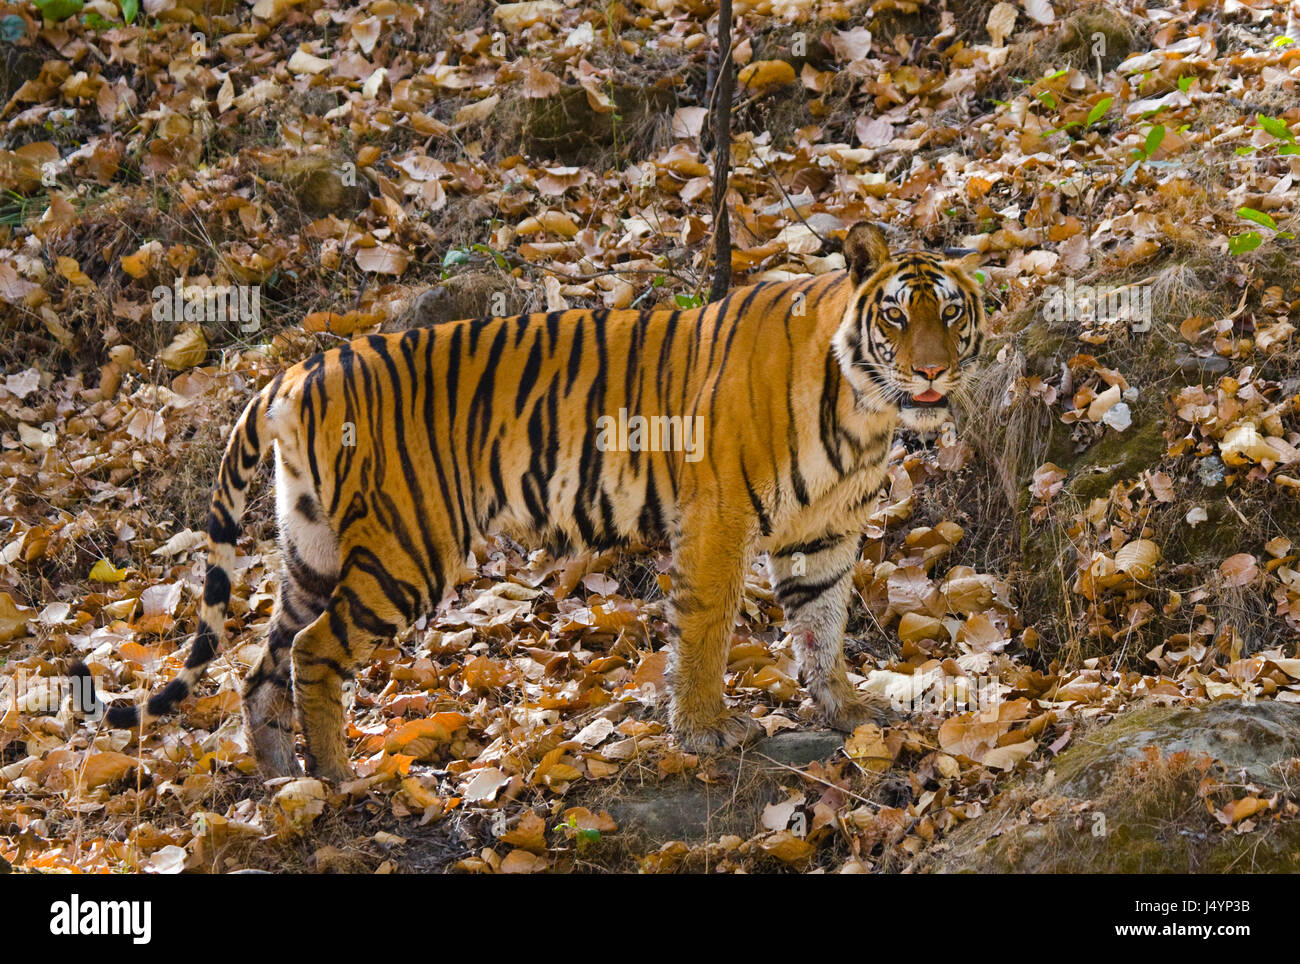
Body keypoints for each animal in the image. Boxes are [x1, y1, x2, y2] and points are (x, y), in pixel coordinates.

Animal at [78, 222, 982, 779]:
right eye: (895, 317)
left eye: (952, 313)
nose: (933, 371)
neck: (864, 415)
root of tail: (298, 370)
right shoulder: (718, 522)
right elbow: (706, 632)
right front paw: (703, 730)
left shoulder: (824, 532)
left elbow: (823, 624)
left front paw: (848, 709)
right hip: (408, 548)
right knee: (313, 651)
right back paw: (340, 777)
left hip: (312, 548)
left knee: (263, 662)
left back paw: (282, 781)